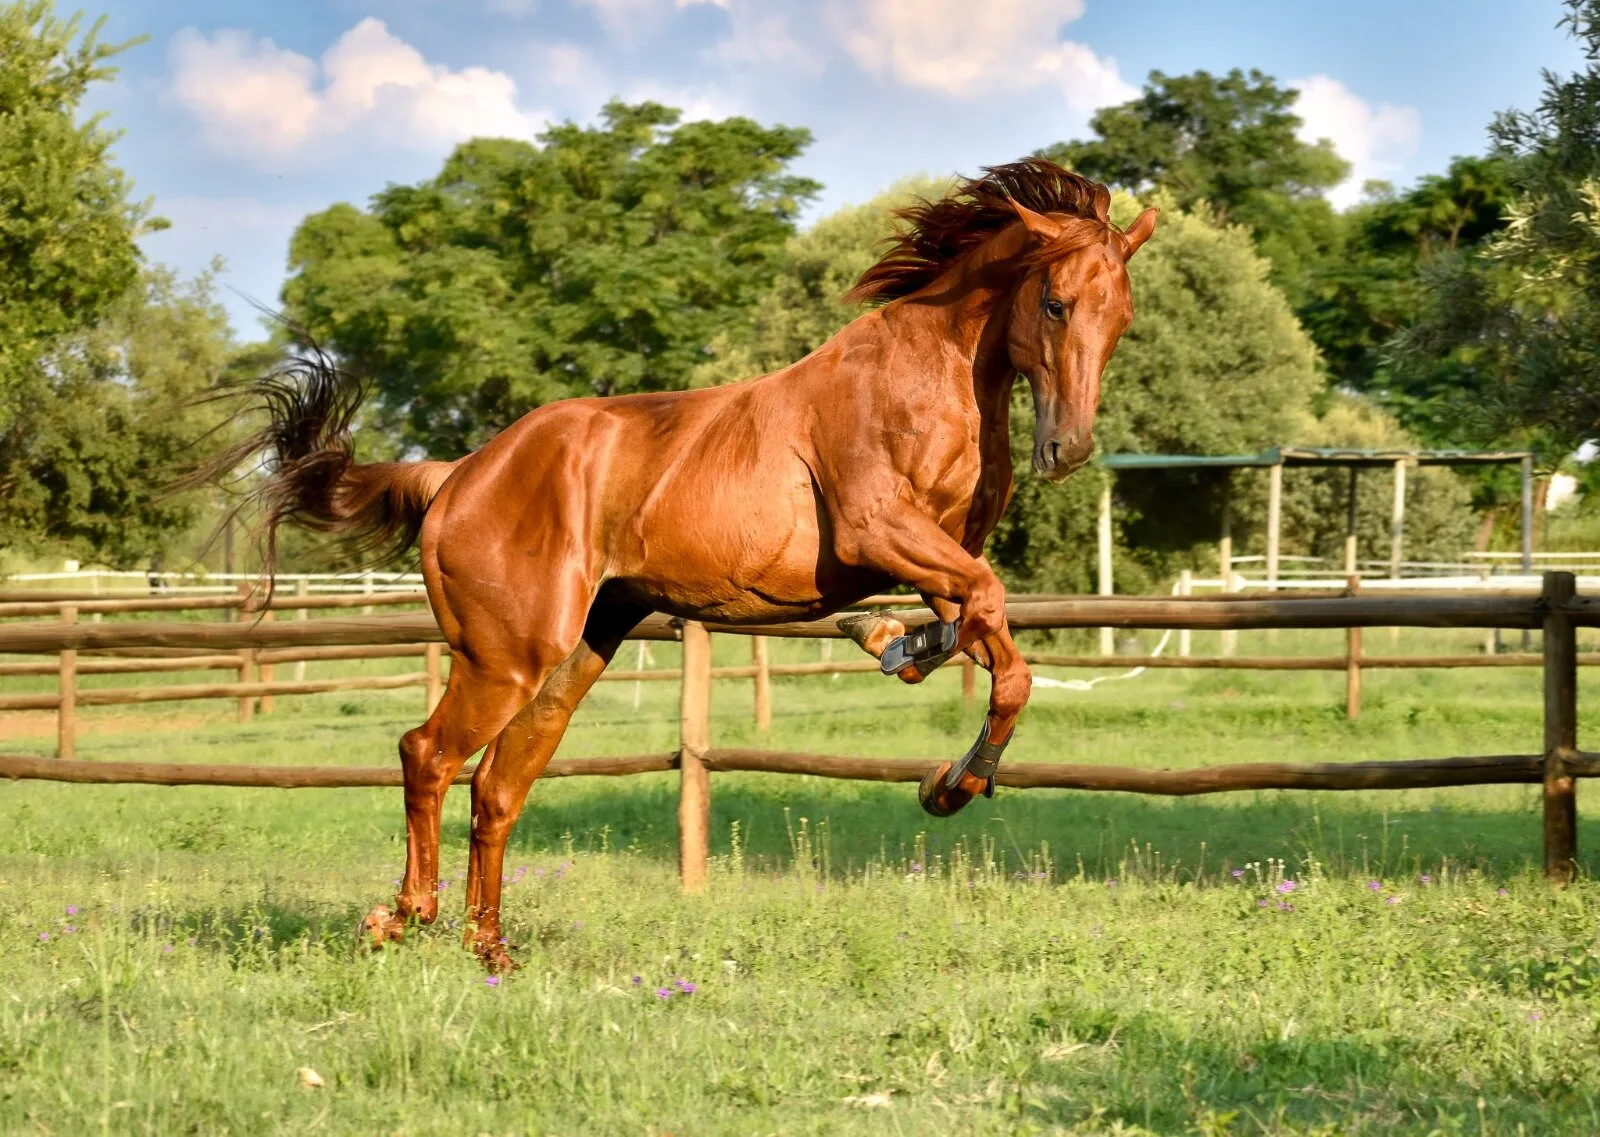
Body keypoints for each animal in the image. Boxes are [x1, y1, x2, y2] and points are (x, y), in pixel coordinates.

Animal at [211, 157, 1156, 971]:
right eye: (1057, 303)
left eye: (1123, 319)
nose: (1068, 450)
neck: (929, 376)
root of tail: (459, 473)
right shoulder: (876, 532)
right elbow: (985, 613)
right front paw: (913, 685)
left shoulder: (942, 557)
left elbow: (996, 648)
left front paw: (943, 764)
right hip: (505, 658)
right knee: (427, 755)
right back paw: (401, 915)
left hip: (572, 660)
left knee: (497, 788)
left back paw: (493, 953)